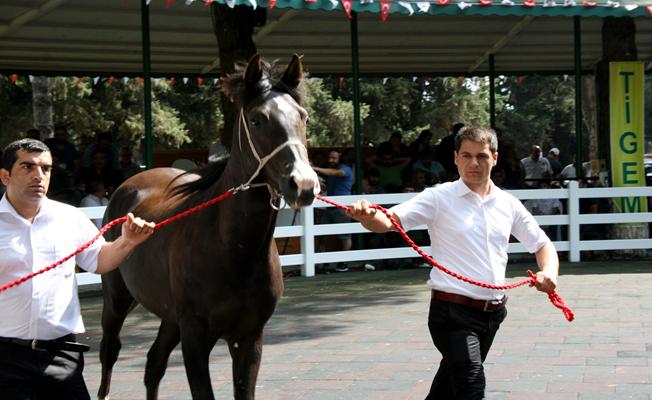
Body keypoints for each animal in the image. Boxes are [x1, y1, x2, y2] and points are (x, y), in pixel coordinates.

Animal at [98, 54, 320, 400]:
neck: (232, 250)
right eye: (257, 119)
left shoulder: (249, 338)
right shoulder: (195, 335)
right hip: (117, 300)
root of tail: (129, 186)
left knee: (153, 364)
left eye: (304, 117)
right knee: (110, 353)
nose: (304, 185)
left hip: (169, 318)